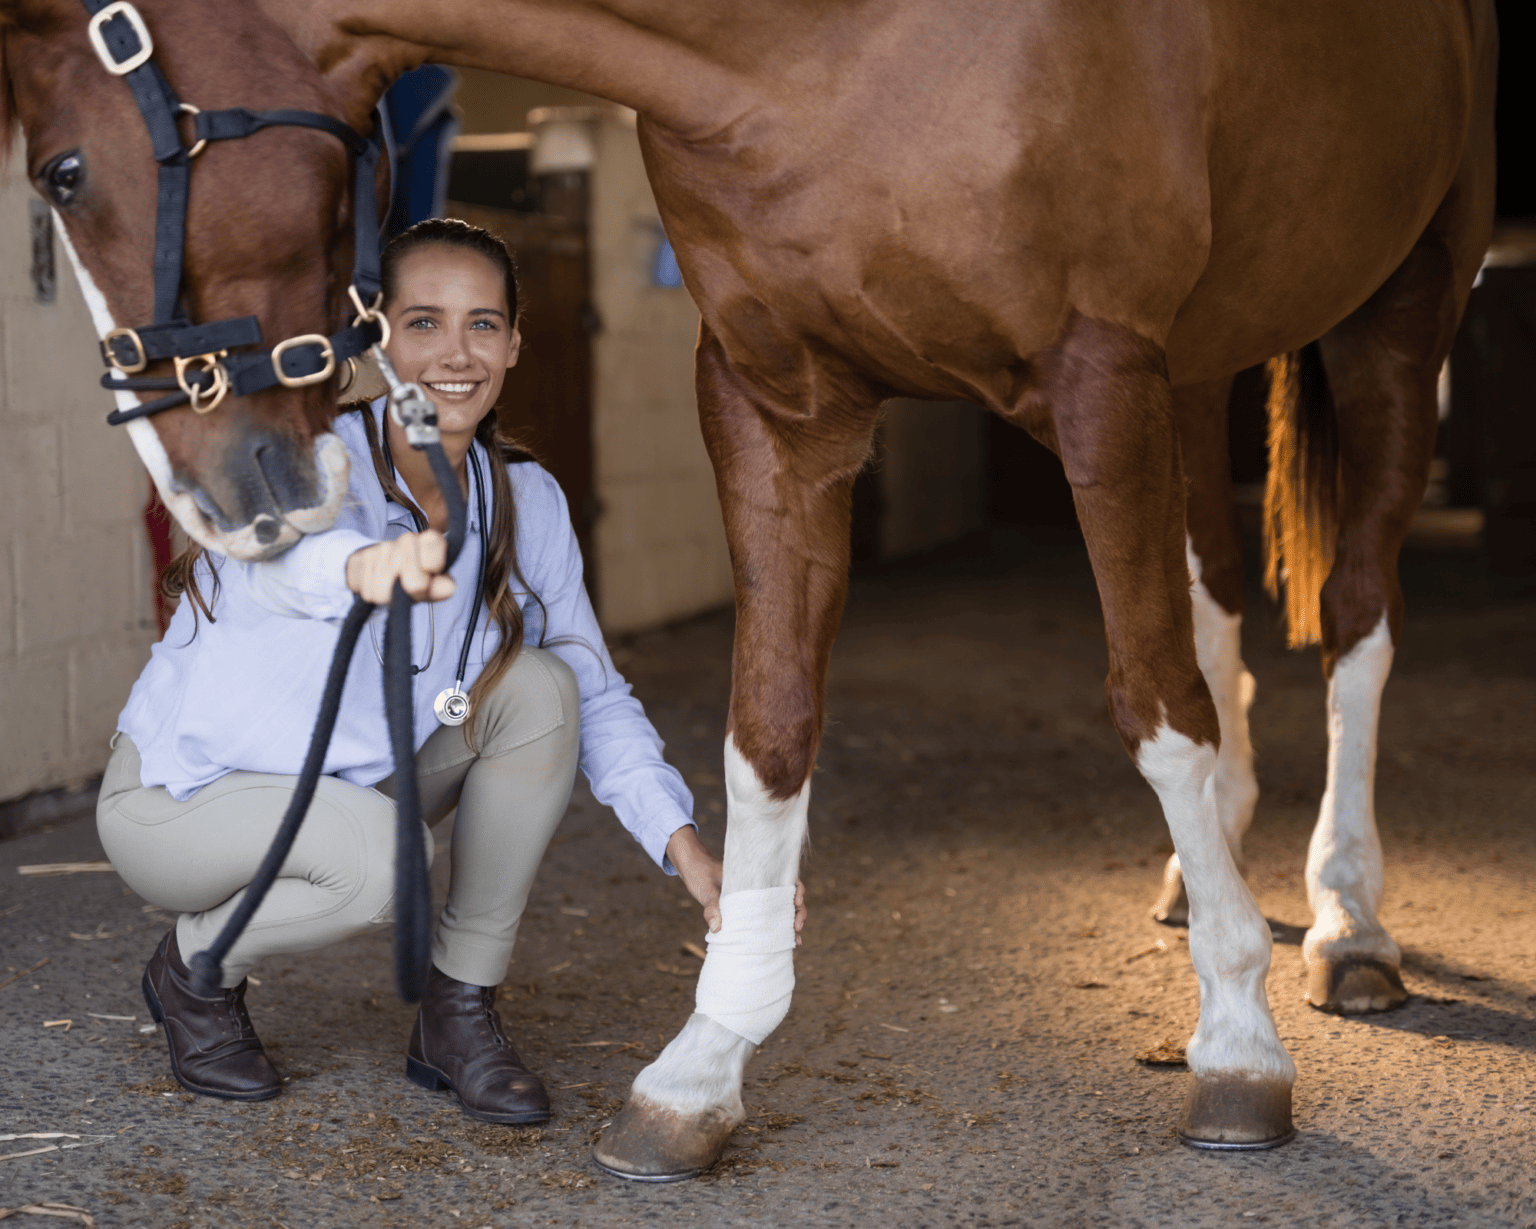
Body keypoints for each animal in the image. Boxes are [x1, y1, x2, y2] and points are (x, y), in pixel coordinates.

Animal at [3, 0, 1496, 1181]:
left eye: (66, 169)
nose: (220, 496)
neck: (826, 44)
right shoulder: (774, 398)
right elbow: (767, 729)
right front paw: (701, 1065)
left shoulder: (1100, 371)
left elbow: (1155, 704)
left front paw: (1237, 1046)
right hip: (1198, 368)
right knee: (1215, 586)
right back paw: (1213, 877)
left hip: (1399, 309)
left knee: (1356, 613)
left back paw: (1350, 922)